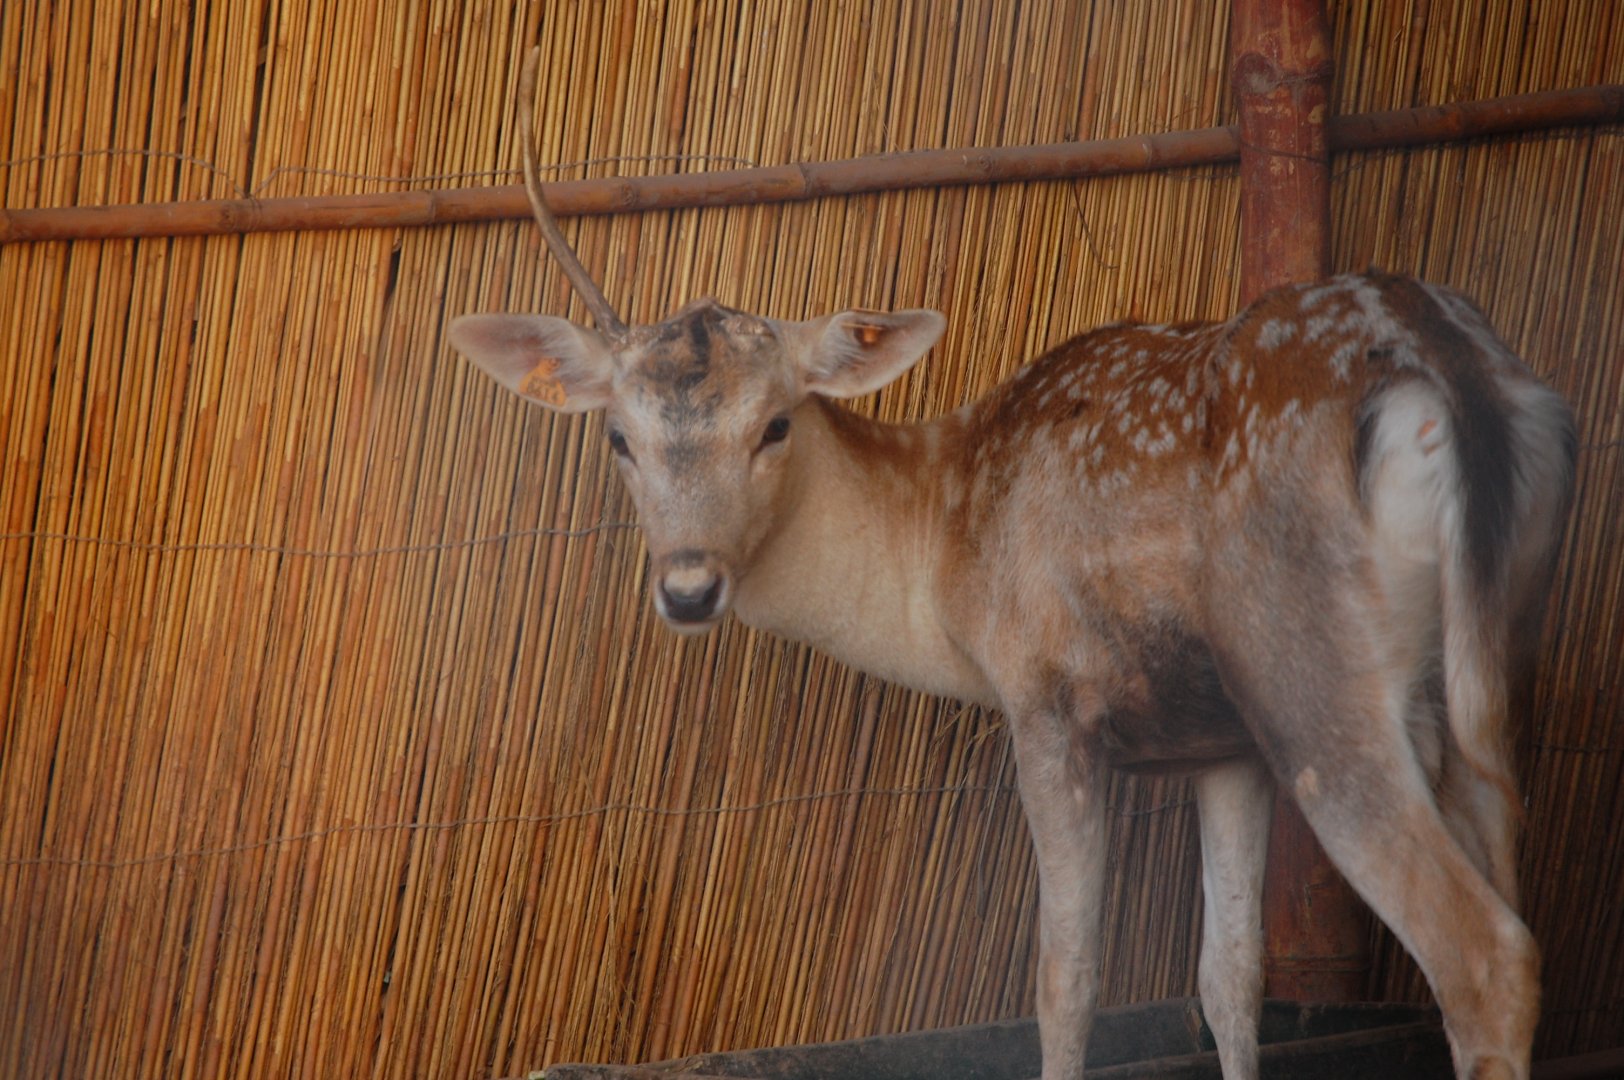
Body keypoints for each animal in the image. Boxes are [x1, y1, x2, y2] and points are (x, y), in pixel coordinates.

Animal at [447, 48, 1576, 1080]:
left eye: (773, 424)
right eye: (618, 437)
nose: (688, 586)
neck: (947, 551)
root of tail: (1448, 368)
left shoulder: (1048, 698)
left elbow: (1065, 979)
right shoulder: (1217, 739)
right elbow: (1228, 978)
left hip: (1310, 664)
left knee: (1485, 955)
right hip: (1481, 662)